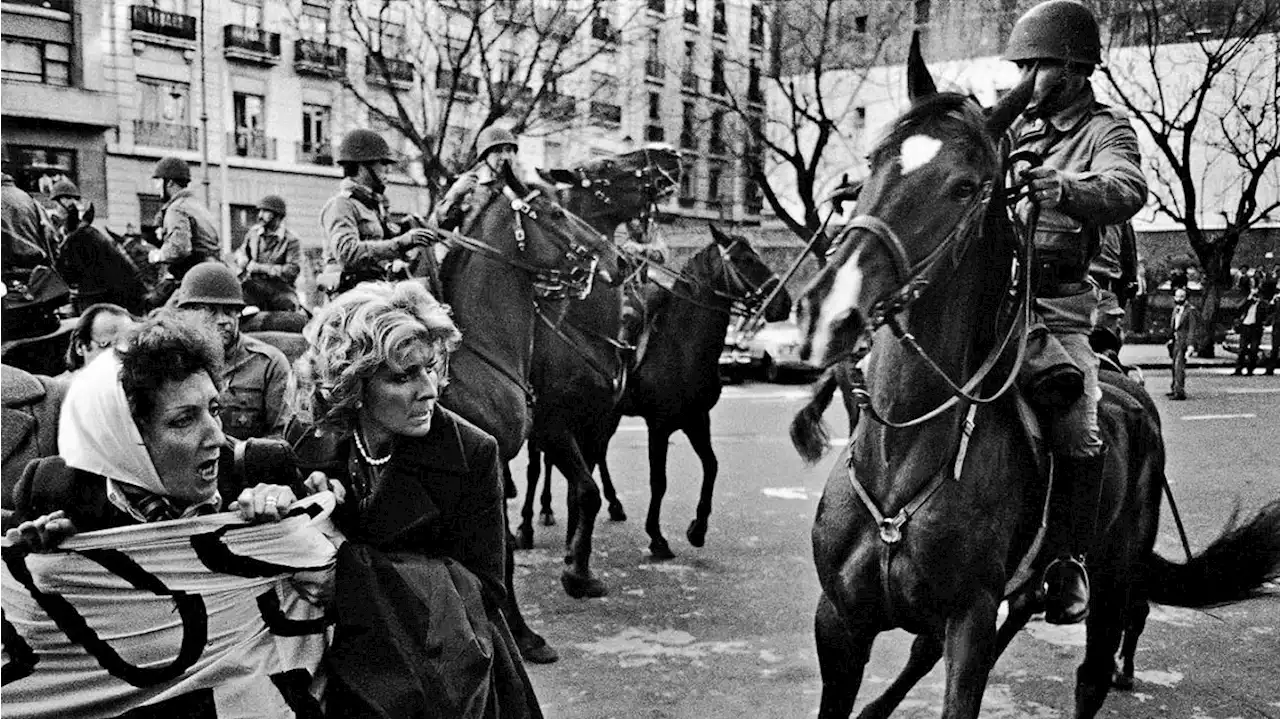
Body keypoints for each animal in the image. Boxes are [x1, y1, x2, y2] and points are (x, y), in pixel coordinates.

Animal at [514, 142, 686, 596]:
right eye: (607, 163)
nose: (670, 153)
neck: (582, 330)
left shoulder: (594, 423)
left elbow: (582, 492)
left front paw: (576, 557)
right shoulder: (553, 424)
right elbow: (584, 490)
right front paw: (575, 571)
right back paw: (524, 527)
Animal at [596, 226, 793, 557]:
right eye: (744, 259)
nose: (785, 303)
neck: (682, 345)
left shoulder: (697, 419)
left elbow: (711, 466)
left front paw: (697, 529)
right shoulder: (659, 425)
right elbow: (659, 481)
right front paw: (657, 537)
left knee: (597, 451)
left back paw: (613, 504)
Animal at [793, 39, 1280, 716]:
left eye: (964, 186)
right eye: (872, 162)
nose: (830, 309)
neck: (901, 461)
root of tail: (1130, 387)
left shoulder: (968, 622)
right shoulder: (838, 622)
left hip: (1112, 574)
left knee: (1094, 668)